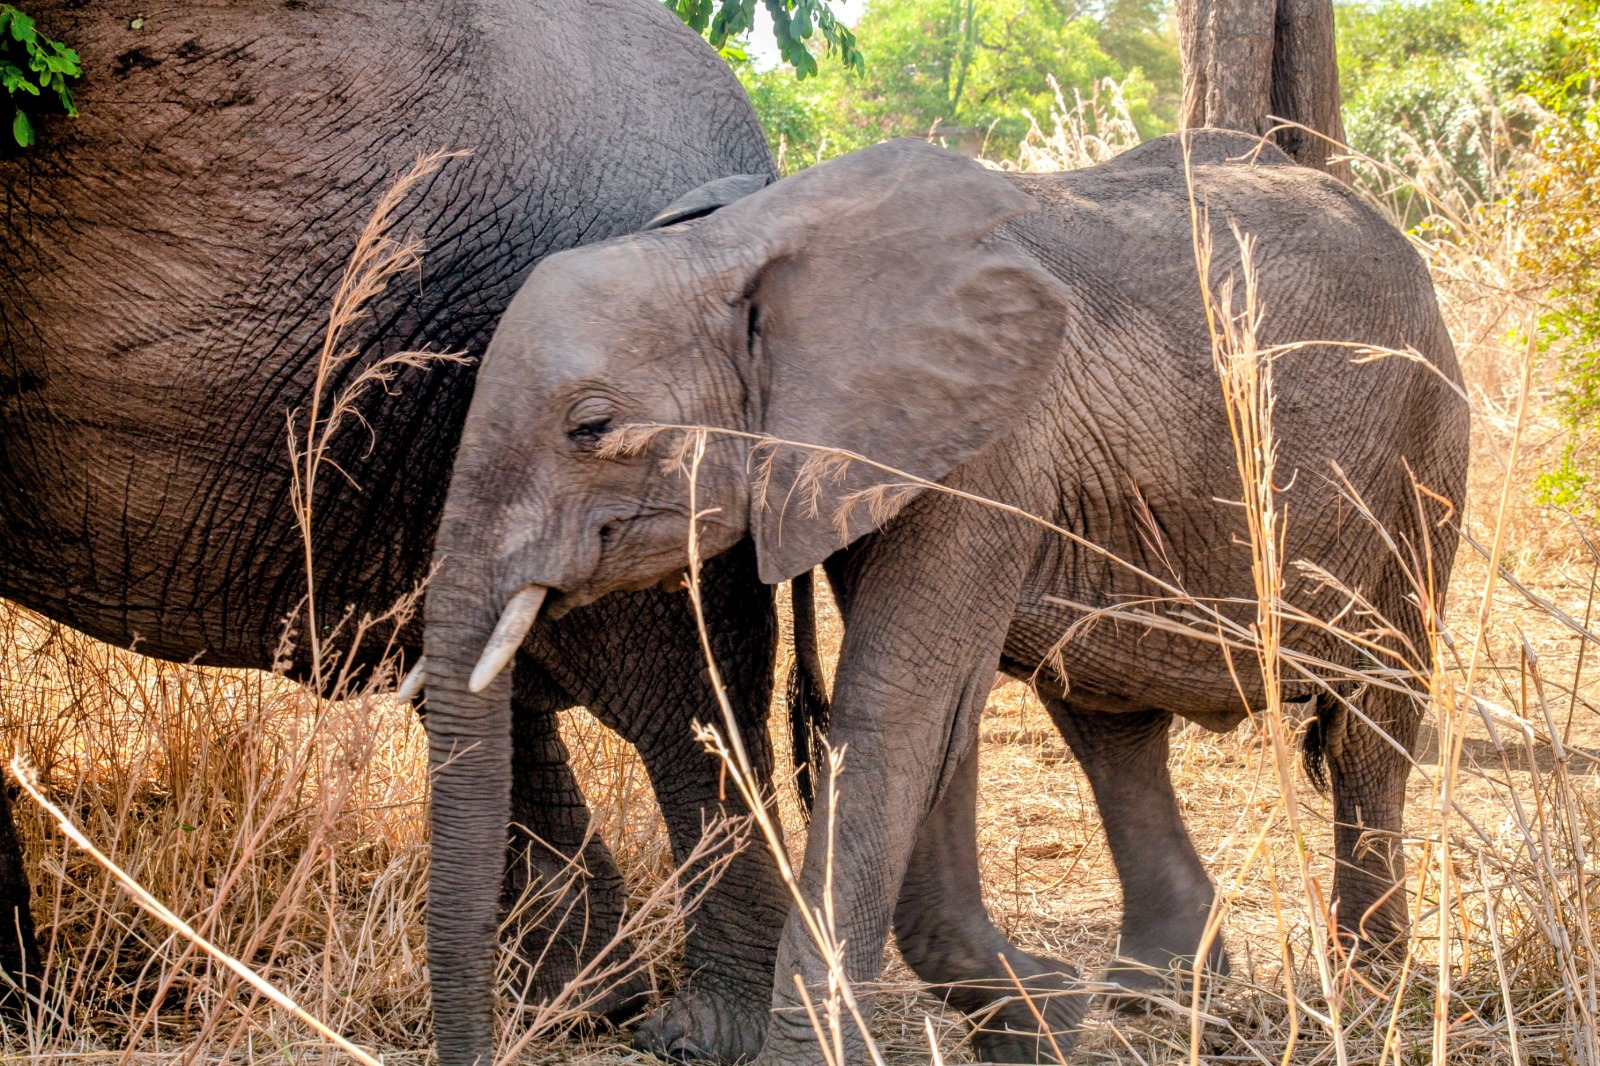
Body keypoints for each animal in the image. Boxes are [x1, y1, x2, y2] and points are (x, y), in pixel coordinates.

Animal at [420, 130, 1468, 1064]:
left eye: (591, 427)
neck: (741, 240)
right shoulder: (876, 455)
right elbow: (936, 721)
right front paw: (1041, 1023)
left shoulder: (986, 447)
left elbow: (900, 712)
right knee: (1108, 719)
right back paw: (1159, 995)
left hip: (1423, 461)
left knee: (1372, 721)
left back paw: (1367, 991)